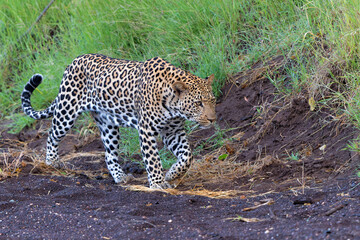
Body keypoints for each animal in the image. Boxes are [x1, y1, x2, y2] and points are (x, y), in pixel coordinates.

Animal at [21, 53, 215, 188]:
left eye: (212, 101)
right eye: (198, 103)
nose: (213, 119)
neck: (173, 107)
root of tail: (74, 61)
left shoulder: (173, 131)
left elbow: (187, 156)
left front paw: (172, 175)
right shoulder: (146, 130)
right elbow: (153, 159)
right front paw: (158, 183)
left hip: (108, 125)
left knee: (109, 154)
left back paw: (120, 176)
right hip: (66, 110)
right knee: (52, 134)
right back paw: (51, 161)